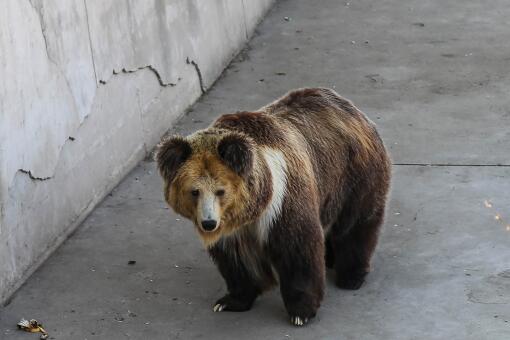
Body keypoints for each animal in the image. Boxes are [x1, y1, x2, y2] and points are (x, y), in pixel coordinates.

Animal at [155, 87, 390, 326]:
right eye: (194, 191)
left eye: (220, 191)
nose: (209, 223)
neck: (252, 209)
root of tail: (349, 106)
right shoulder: (232, 229)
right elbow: (236, 261)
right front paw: (229, 301)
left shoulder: (282, 201)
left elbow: (297, 249)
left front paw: (301, 312)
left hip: (353, 173)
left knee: (355, 224)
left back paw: (351, 276)